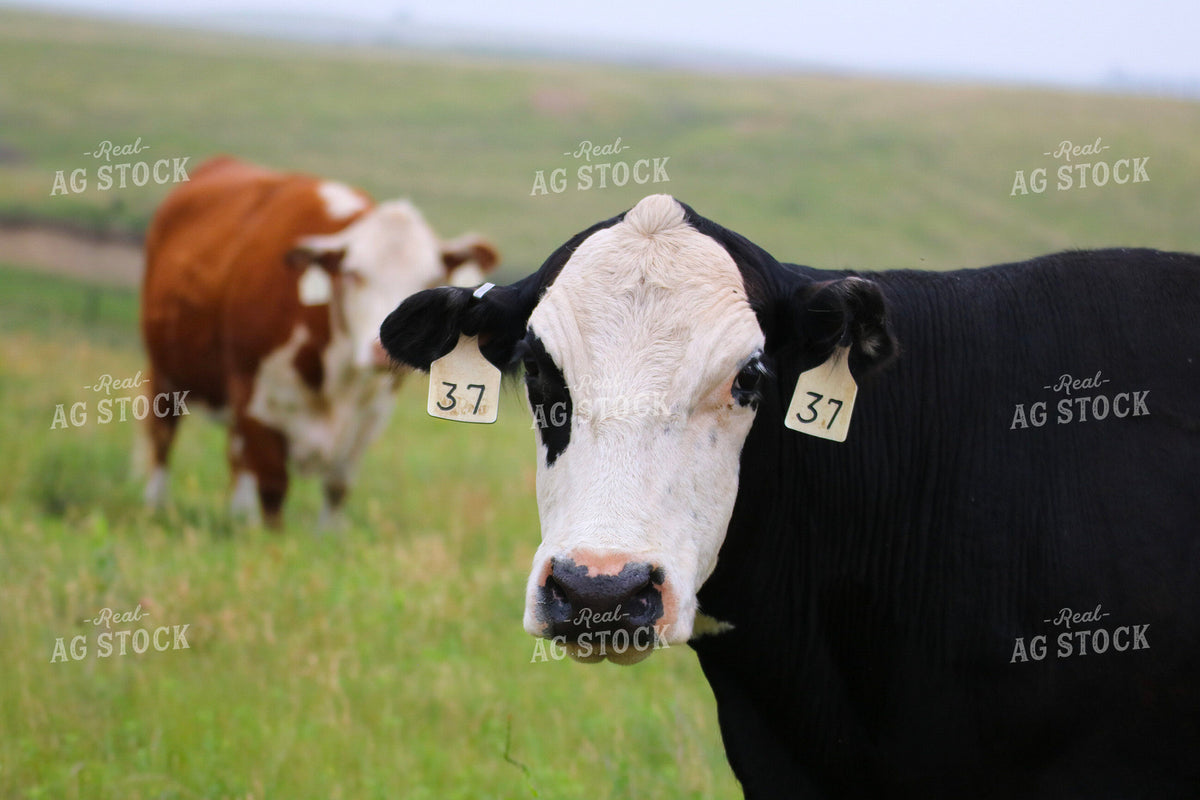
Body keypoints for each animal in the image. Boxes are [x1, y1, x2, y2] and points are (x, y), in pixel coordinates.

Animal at [140, 156, 498, 528]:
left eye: (431, 281)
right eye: (353, 274)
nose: (383, 349)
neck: (338, 373)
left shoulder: (371, 415)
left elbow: (337, 485)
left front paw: (328, 535)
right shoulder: (254, 401)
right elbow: (272, 485)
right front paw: (270, 538)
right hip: (166, 373)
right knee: (163, 437)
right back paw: (156, 505)